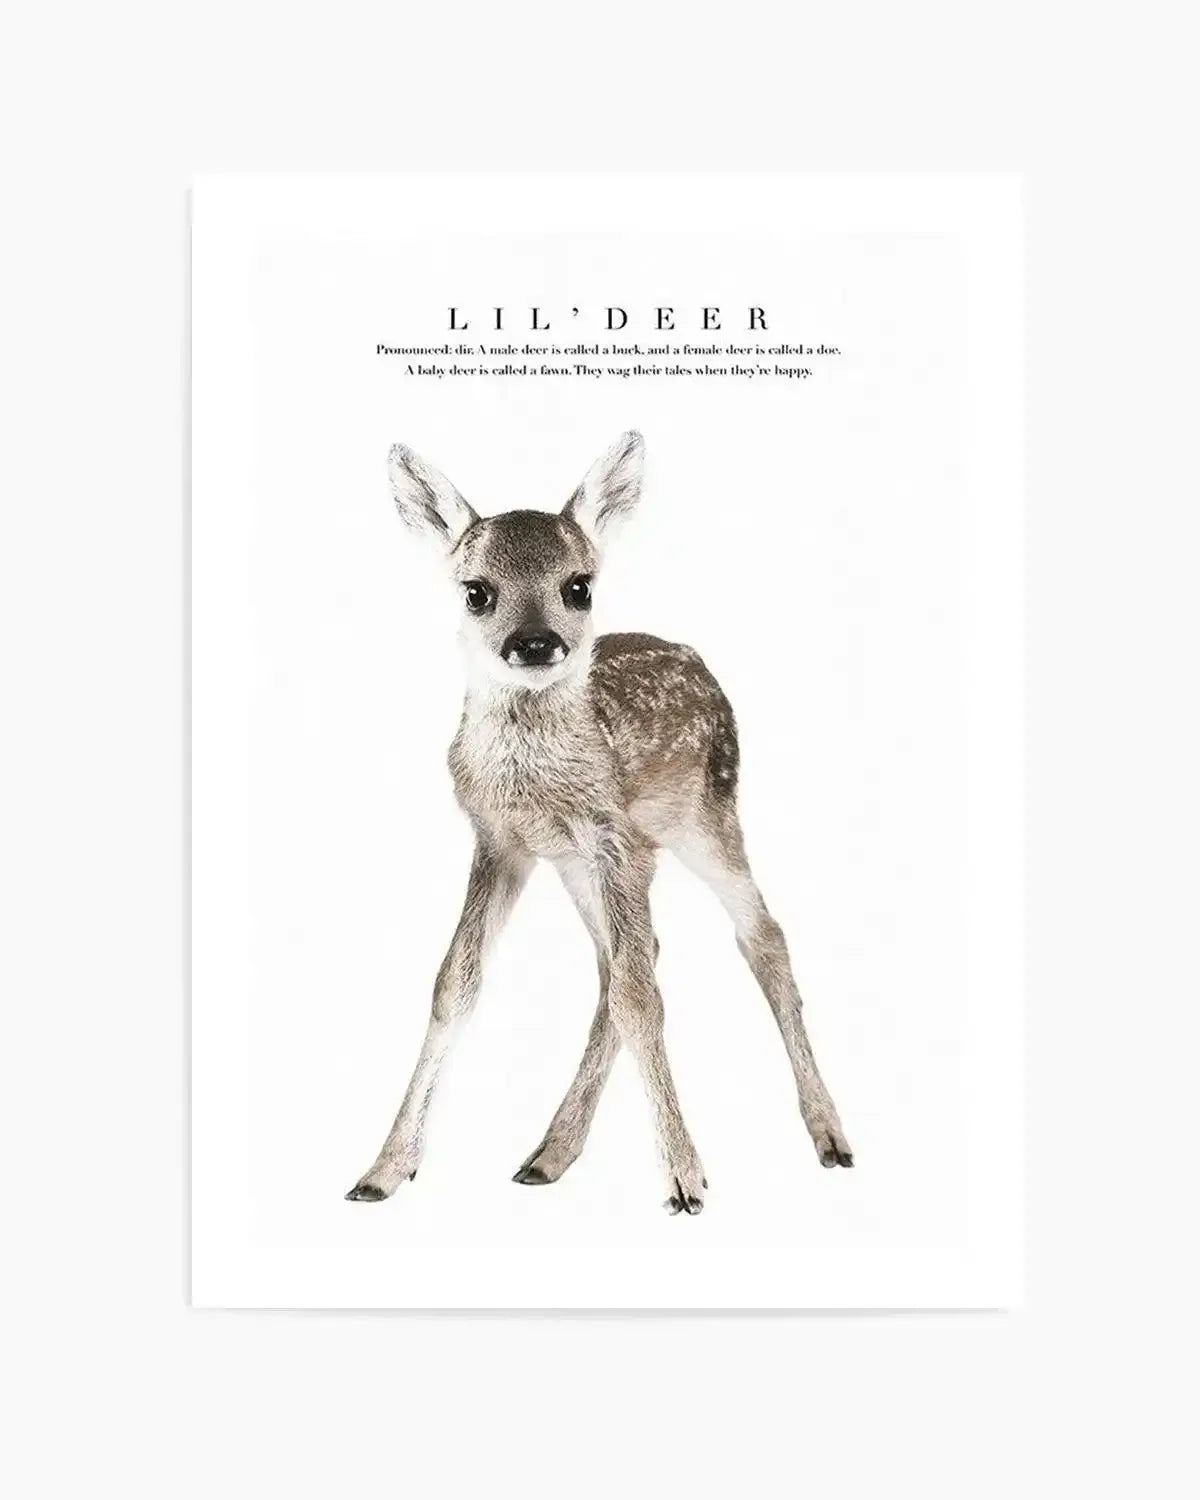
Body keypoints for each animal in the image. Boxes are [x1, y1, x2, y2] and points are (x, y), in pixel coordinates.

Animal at [346, 431, 852, 1215]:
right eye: (476, 591)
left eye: (578, 585)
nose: (534, 643)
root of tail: (695, 656)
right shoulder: (503, 841)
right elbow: (455, 984)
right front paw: (384, 1169)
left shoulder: (613, 837)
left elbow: (641, 999)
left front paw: (685, 1180)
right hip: (593, 863)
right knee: (626, 961)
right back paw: (549, 1154)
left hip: (706, 815)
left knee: (758, 935)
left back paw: (829, 1135)